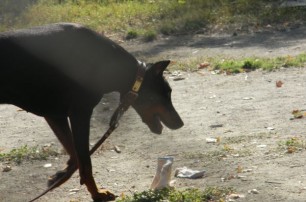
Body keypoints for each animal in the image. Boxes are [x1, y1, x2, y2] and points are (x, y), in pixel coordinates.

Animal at [0, 23, 183, 200]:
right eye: (166, 93)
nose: (180, 123)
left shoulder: (55, 115)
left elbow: (75, 153)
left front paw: (62, 175)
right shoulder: (80, 113)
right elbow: (86, 162)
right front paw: (97, 193)